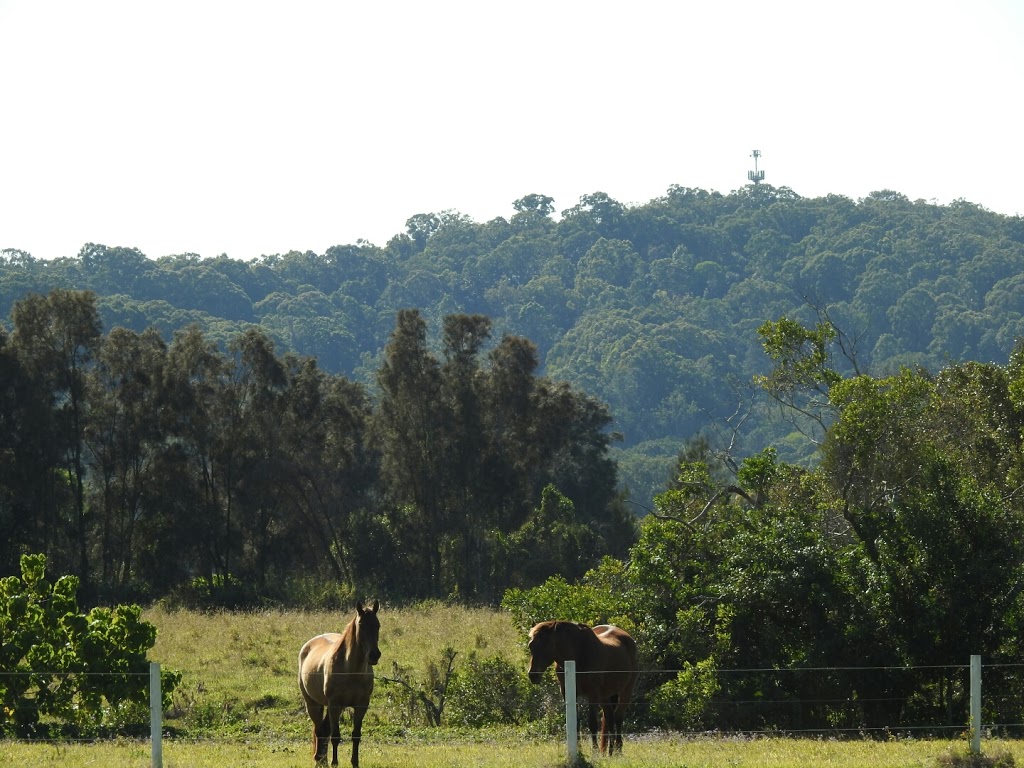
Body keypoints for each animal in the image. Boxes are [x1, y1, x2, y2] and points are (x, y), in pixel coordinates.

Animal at [299, 602, 382, 768]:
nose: (374, 655)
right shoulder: (334, 704)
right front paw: (335, 762)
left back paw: (322, 760)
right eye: (361, 625)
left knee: (324, 730)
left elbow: (356, 735)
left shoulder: (361, 705)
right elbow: (336, 736)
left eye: (378, 625)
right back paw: (320, 759)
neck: (351, 671)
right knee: (319, 730)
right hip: (313, 703)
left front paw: (355, 762)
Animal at [532, 622, 634, 753]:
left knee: (618, 718)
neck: (578, 656)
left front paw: (594, 751)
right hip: (605, 696)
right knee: (609, 719)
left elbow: (592, 724)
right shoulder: (568, 693)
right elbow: (576, 723)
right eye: (530, 646)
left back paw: (618, 750)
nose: (532, 675)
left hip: (626, 691)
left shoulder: (593, 694)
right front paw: (579, 750)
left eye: (545, 646)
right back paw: (610, 751)